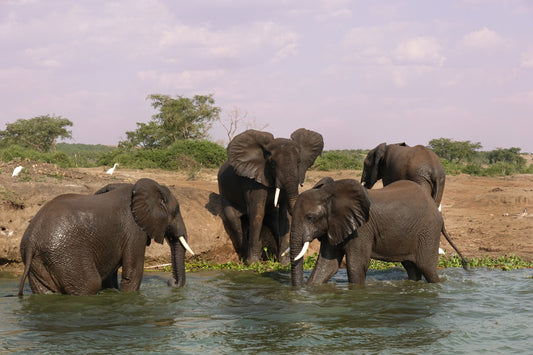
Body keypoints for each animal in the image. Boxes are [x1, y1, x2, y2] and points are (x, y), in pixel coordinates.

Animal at [18, 178, 195, 298]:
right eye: (176, 210)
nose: (171, 282)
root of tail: (32, 240)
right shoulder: (133, 229)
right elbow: (133, 273)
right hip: (65, 255)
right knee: (90, 283)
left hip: (39, 261)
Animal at [217, 129, 324, 266]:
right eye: (272, 163)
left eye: (299, 162)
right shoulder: (253, 180)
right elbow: (257, 213)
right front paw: (252, 263)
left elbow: (284, 215)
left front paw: (284, 264)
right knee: (234, 220)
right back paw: (244, 259)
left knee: (274, 221)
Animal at [288, 178, 468, 286]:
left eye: (310, 217)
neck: (329, 194)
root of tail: (438, 213)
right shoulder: (334, 225)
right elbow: (327, 265)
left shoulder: (362, 230)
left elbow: (356, 266)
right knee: (412, 268)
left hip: (428, 231)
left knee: (427, 268)